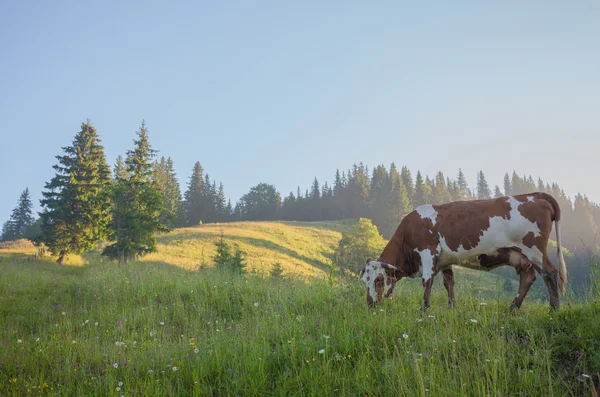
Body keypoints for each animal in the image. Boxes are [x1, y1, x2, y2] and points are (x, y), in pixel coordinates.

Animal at [360, 191, 568, 310]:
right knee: (528, 277)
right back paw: (512, 308)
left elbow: (427, 283)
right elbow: (449, 283)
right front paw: (452, 307)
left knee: (550, 274)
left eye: (378, 280)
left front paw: (424, 310)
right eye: (364, 281)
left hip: (534, 250)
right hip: (519, 255)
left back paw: (554, 309)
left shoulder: (428, 253)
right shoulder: (445, 261)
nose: (370, 304)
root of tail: (535, 194)